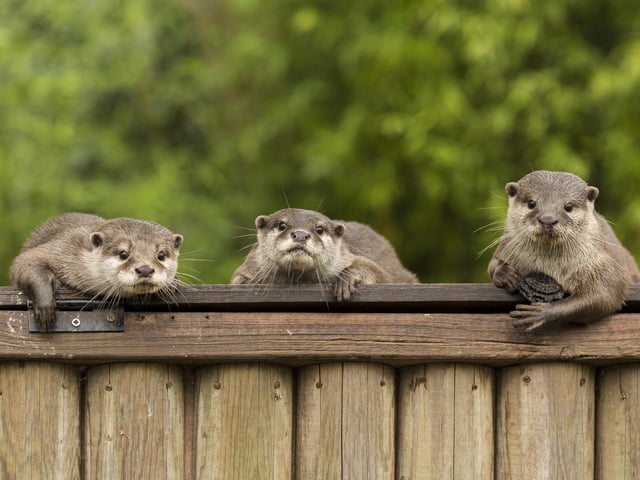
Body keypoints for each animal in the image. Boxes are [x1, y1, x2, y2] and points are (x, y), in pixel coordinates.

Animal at [11, 212, 183, 331]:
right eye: (123, 254)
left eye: (161, 255)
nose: (145, 269)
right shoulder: (63, 246)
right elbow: (25, 261)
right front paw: (45, 305)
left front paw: (172, 284)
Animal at [231, 208, 418, 299]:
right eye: (282, 225)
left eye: (319, 229)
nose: (300, 235)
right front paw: (250, 282)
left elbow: (380, 273)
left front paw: (346, 279)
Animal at [488, 170, 640, 331]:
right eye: (531, 203)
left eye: (568, 206)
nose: (548, 220)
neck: (549, 265)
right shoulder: (506, 246)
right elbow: (491, 265)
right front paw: (505, 273)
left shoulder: (600, 264)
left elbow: (606, 292)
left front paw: (542, 313)